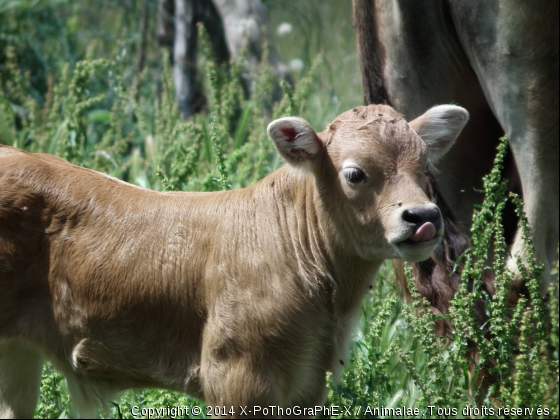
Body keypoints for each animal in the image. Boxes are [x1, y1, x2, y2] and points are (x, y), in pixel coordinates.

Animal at [0, 104, 468, 416]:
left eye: (425, 167)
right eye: (355, 173)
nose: (423, 217)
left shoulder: (306, 385)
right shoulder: (236, 377)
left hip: (16, 353)